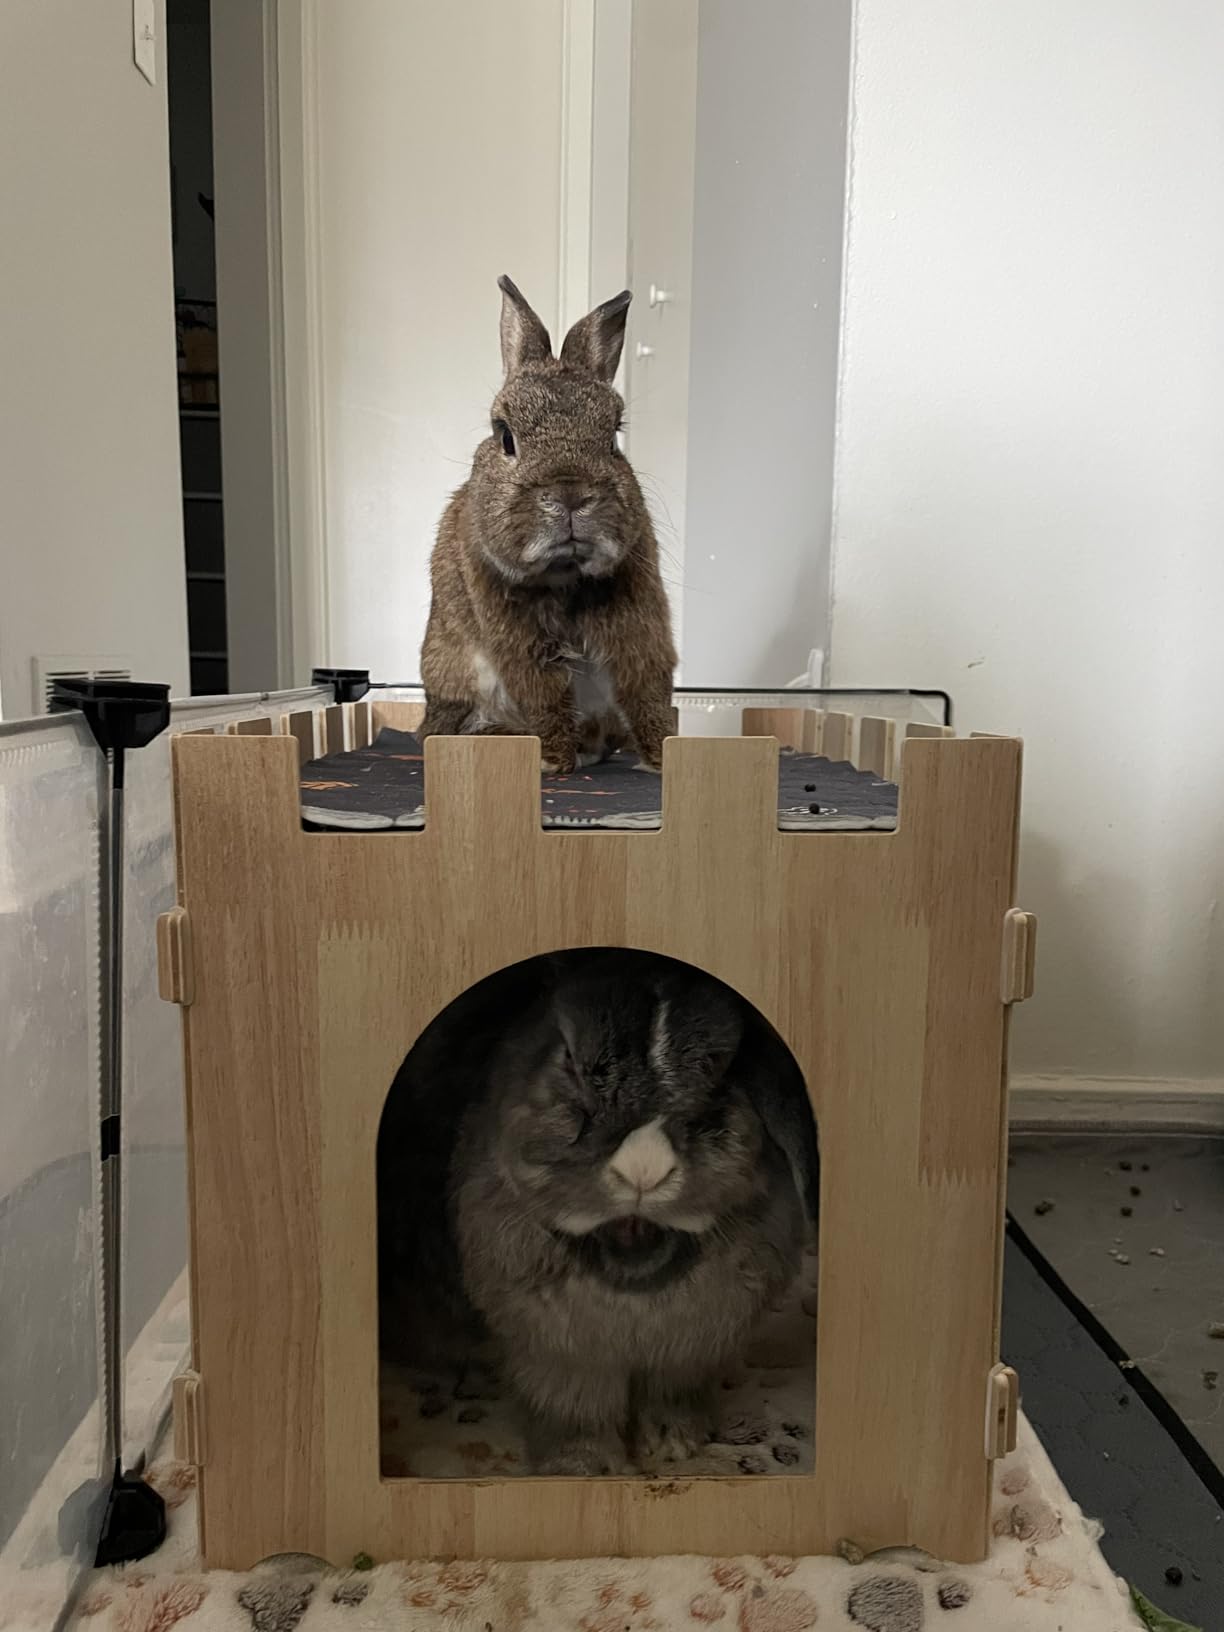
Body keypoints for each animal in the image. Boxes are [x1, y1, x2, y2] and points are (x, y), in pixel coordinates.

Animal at [418, 275, 677, 774]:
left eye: (614, 436)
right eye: (505, 435)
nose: (570, 495)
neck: (565, 574)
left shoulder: (639, 624)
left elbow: (647, 688)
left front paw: (661, 756)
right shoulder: (519, 641)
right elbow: (544, 693)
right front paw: (554, 761)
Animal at [450, 951, 819, 1475]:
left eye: (723, 1073)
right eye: (568, 1058)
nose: (644, 1170)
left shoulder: (687, 1354)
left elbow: (670, 1394)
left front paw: (674, 1445)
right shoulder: (559, 1358)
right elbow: (575, 1408)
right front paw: (582, 1467)